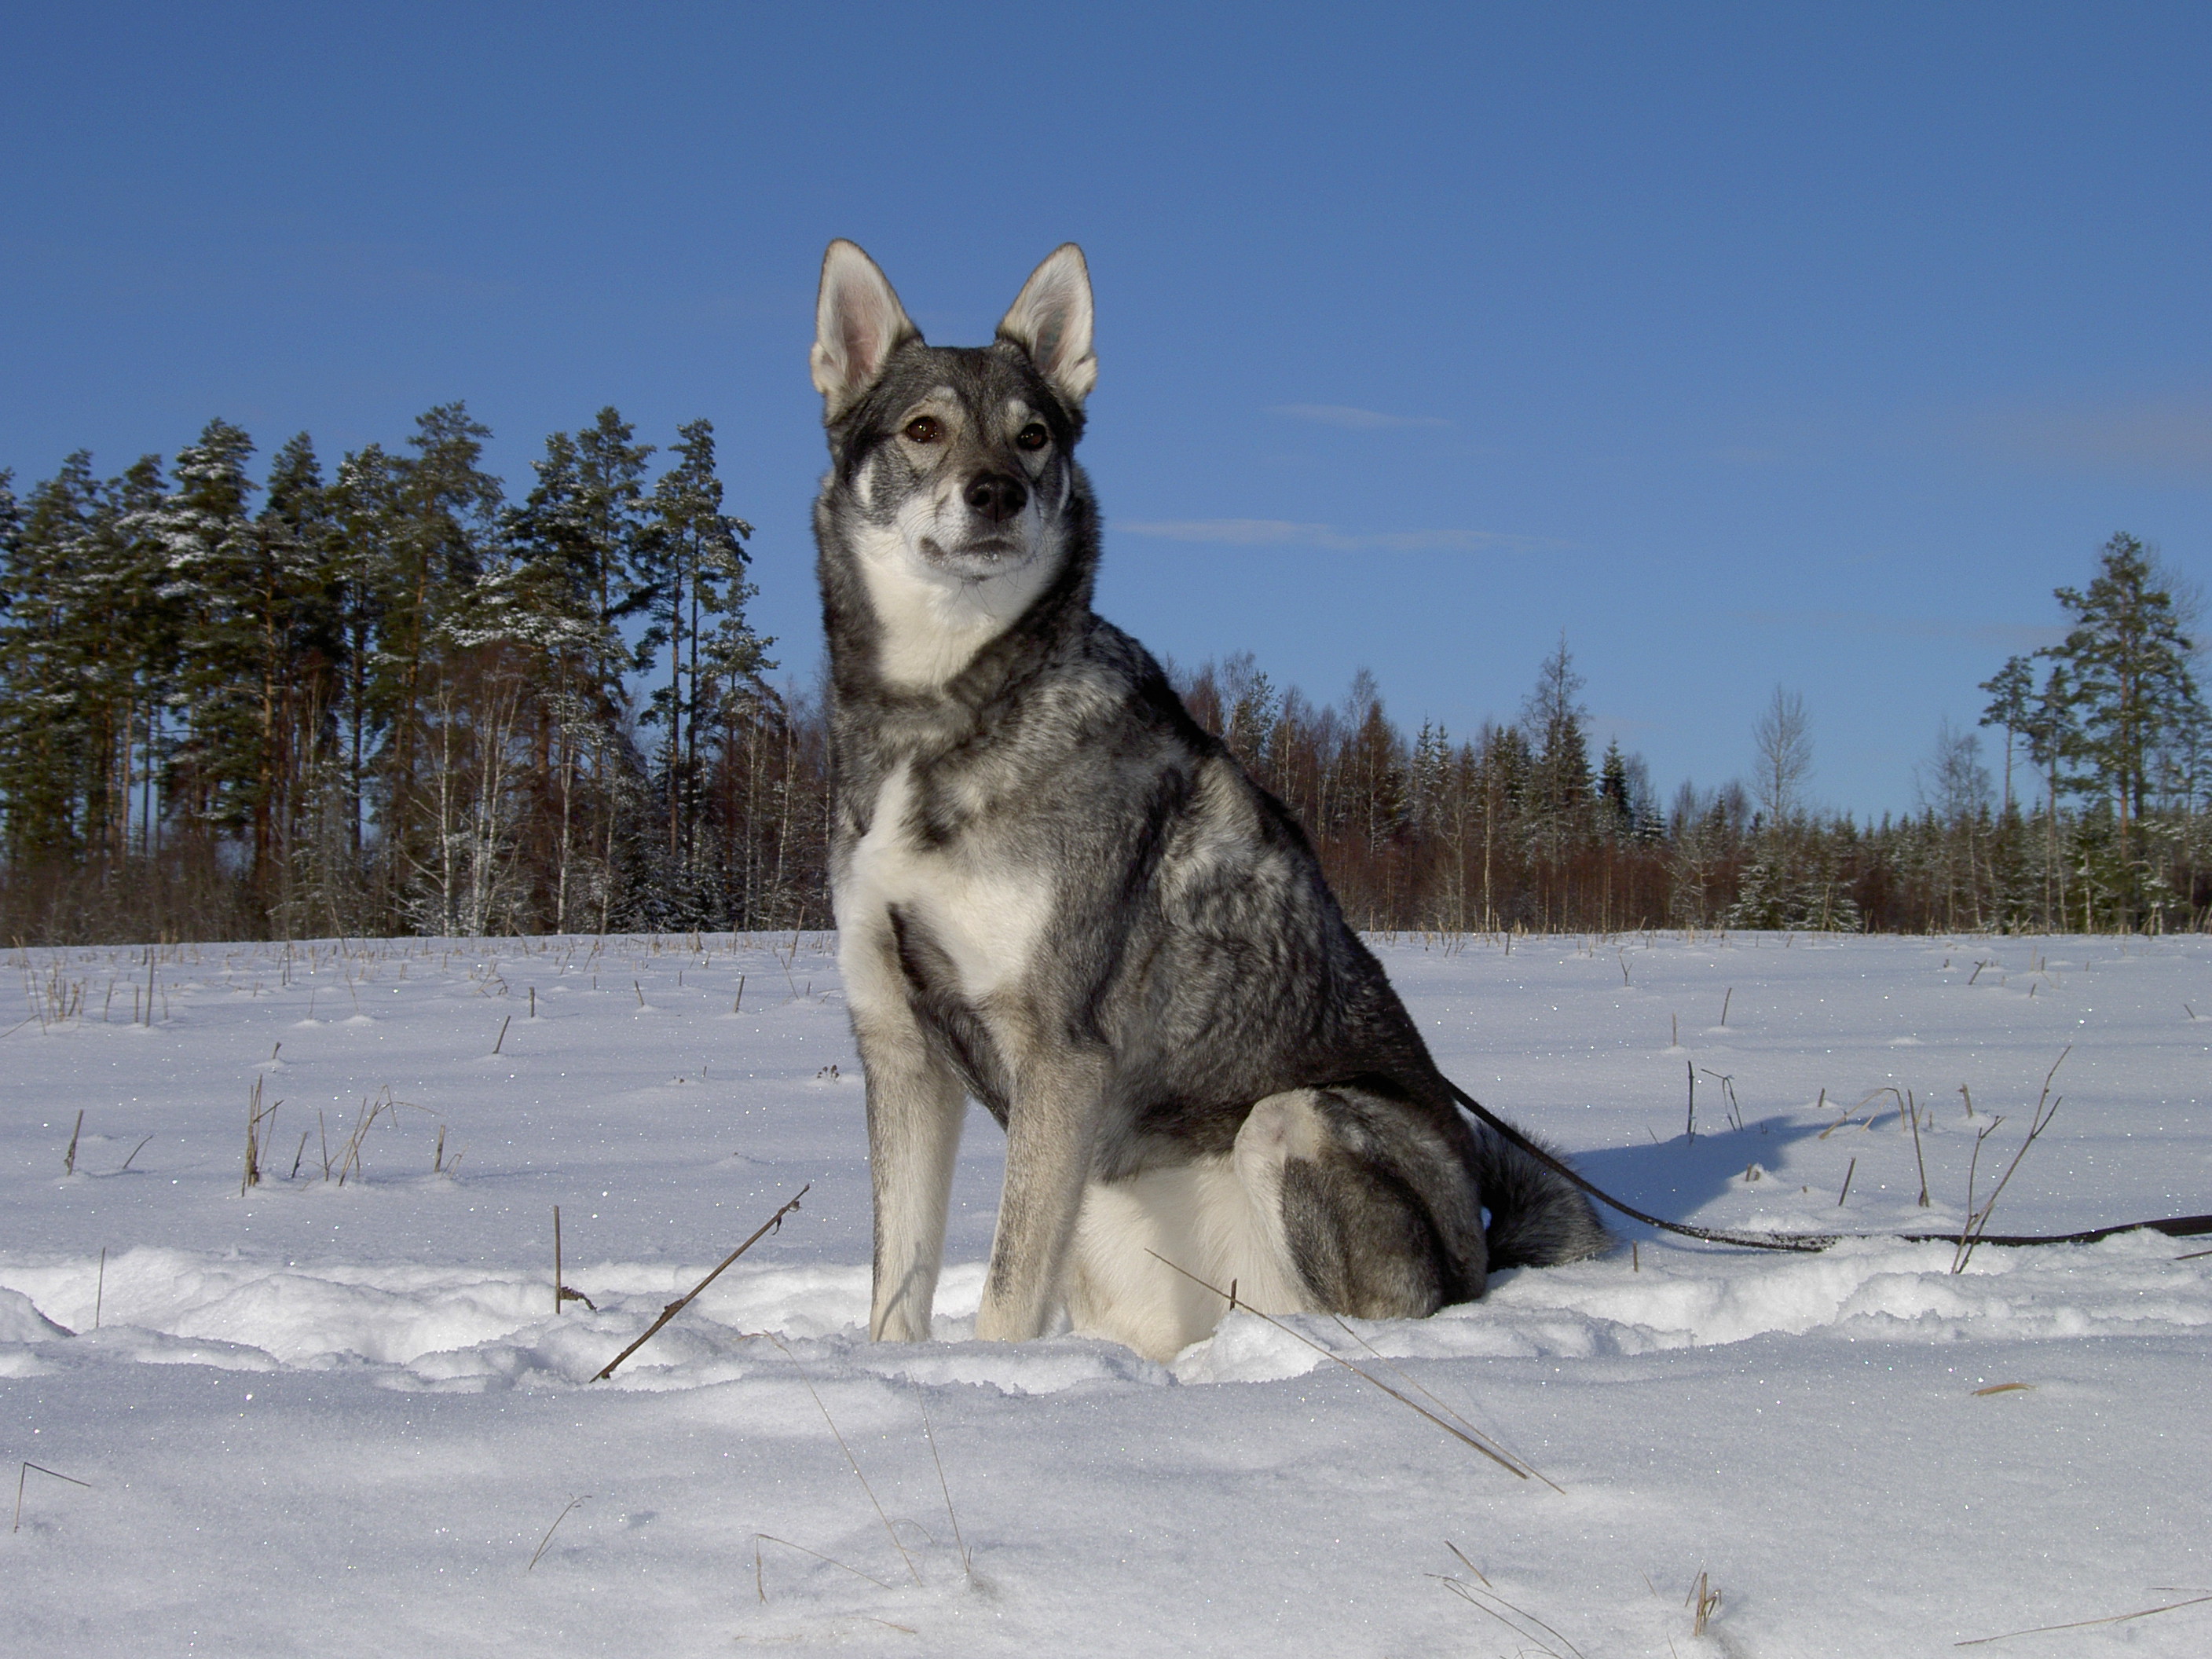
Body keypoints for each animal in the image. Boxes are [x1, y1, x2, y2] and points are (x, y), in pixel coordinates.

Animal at [814, 243, 1610, 1362]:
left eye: (1032, 436)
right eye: (922, 429)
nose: (998, 492)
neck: (943, 708)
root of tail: (1481, 1255)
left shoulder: (1057, 1052)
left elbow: (1004, 1300)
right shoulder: (896, 1041)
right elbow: (900, 1287)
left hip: (1292, 1119)